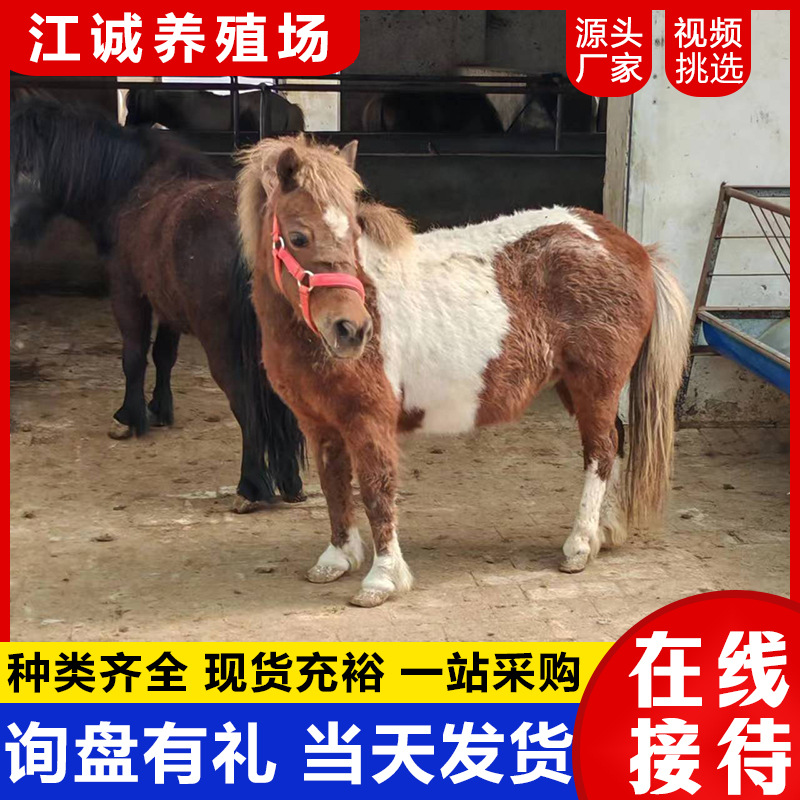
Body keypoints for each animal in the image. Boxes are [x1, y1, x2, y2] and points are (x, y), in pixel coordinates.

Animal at [11, 99, 306, 511]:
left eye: (24, 162)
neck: (134, 187)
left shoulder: (128, 292)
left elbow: (134, 355)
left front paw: (129, 417)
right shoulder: (166, 302)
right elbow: (164, 356)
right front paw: (159, 409)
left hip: (222, 344)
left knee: (244, 402)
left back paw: (250, 487)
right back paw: (291, 482)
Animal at [236, 135, 691, 607]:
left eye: (355, 234)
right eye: (299, 236)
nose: (352, 329)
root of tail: (628, 246)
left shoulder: (368, 420)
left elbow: (377, 489)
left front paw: (382, 579)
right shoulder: (320, 422)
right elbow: (334, 484)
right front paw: (337, 558)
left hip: (595, 383)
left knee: (600, 450)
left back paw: (580, 544)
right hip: (576, 386)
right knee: (614, 443)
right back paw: (607, 530)